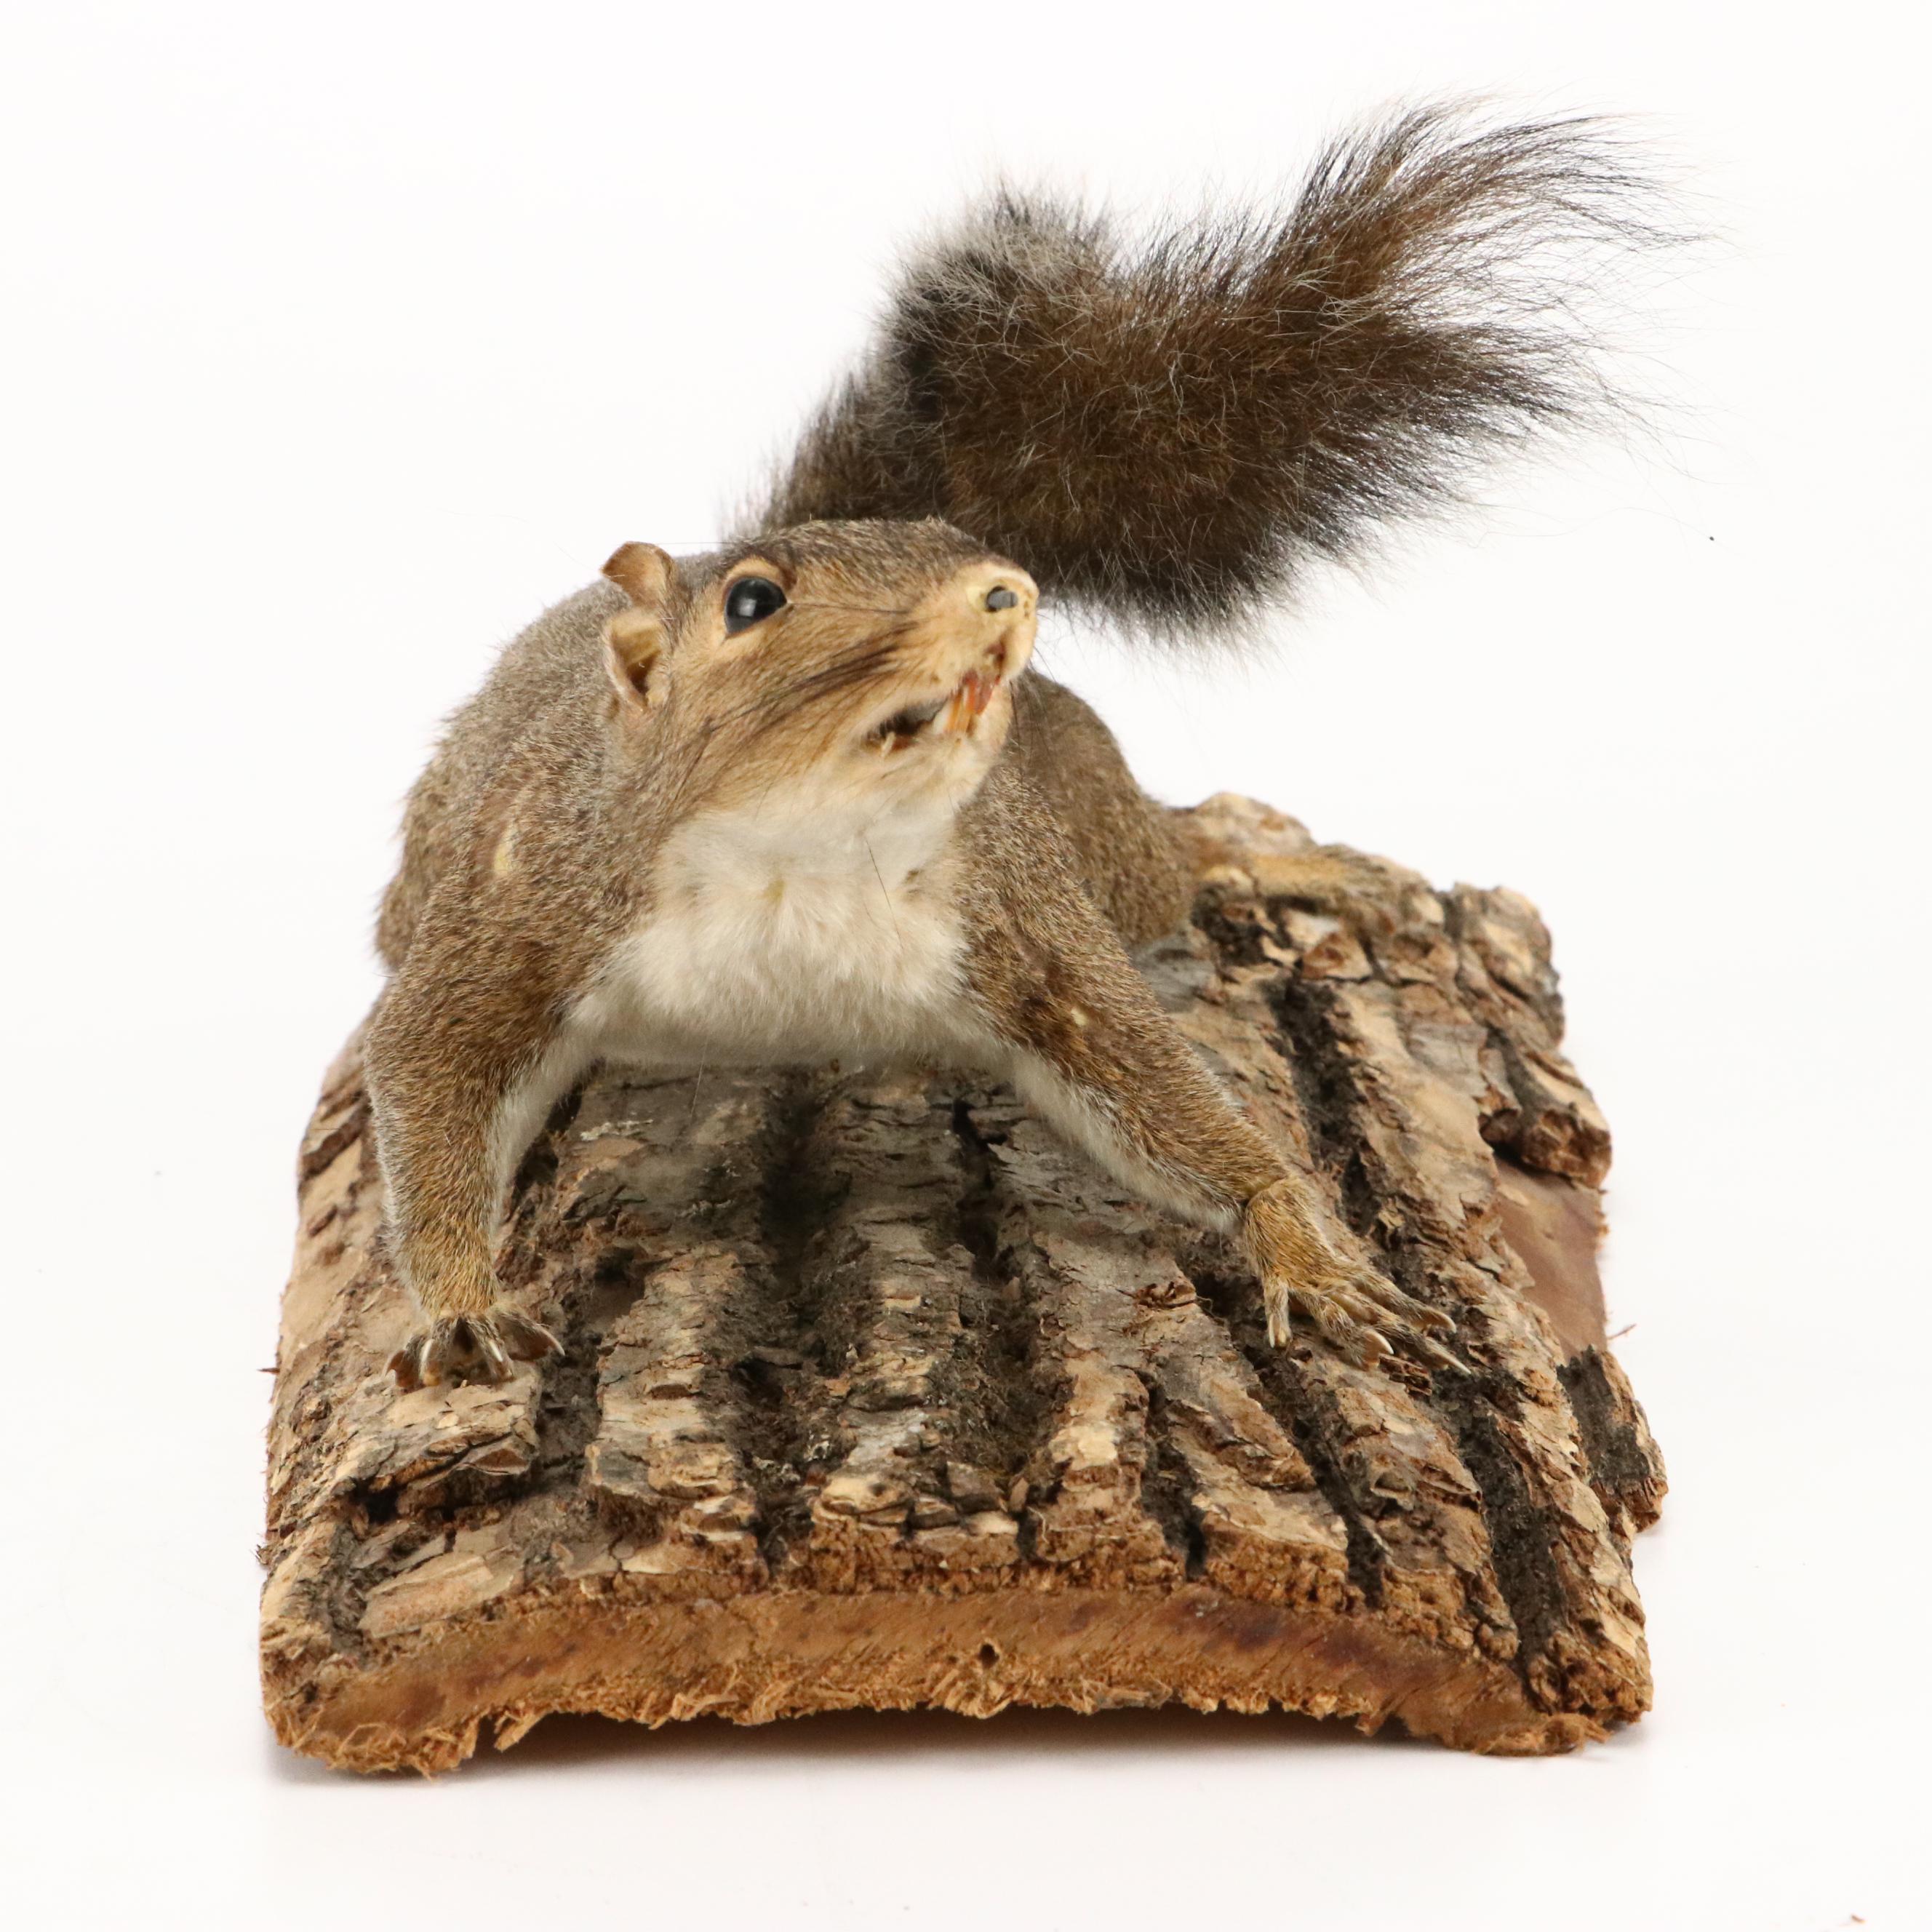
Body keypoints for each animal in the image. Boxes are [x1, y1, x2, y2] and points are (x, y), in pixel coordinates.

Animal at [367, 105, 1666, 1390]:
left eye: (954, 537)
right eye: (751, 603)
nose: (1005, 590)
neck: (799, 856)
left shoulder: (1023, 914)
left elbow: (1169, 1094)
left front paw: (1299, 1245)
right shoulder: (528, 902)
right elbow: (423, 1074)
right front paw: (461, 1303)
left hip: (1102, 842)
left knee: (1171, 863)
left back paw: (1264, 856)